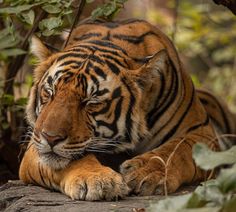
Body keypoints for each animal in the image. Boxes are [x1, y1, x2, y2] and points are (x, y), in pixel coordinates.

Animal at [18, 18, 236, 200]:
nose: (50, 138)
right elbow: (72, 159)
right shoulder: (34, 144)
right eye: (49, 92)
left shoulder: (202, 133)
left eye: (91, 102)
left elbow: (177, 150)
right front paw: (97, 180)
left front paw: (147, 172)